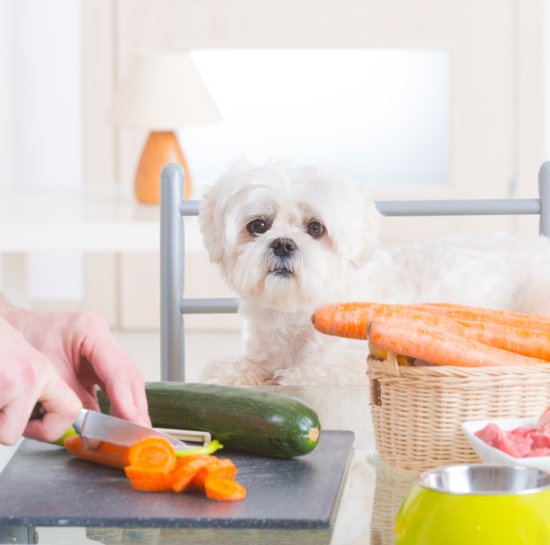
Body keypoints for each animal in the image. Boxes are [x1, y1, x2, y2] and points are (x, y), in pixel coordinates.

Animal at [198, 159, 550, 384]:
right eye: (258, 226)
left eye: (316, 228)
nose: (283, 244)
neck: (297, 312)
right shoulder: (261, 354)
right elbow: (232, 370)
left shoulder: (342, 368)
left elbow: (302, 379)